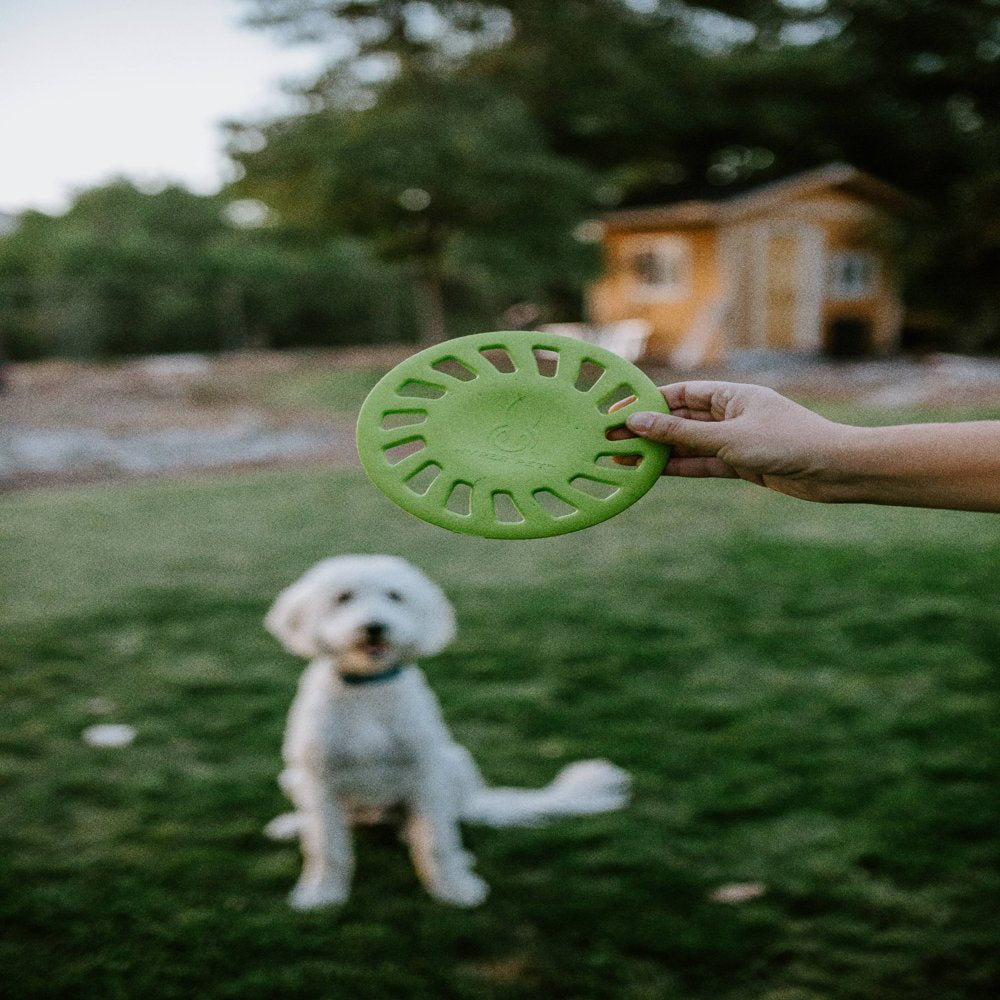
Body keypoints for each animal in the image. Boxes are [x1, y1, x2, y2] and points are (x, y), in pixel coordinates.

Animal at [262, 560, 628, 912]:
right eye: (343, 598)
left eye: (395, 596)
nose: (375, 627)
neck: (368, 688)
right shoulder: (319, 780)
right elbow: (326, 847)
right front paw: (321, 894)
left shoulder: (426, 774)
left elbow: (437, 842)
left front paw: (454, 889)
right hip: (295, 777)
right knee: (340, 821)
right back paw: (295, 824)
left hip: (453, 763)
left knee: (440, 823)